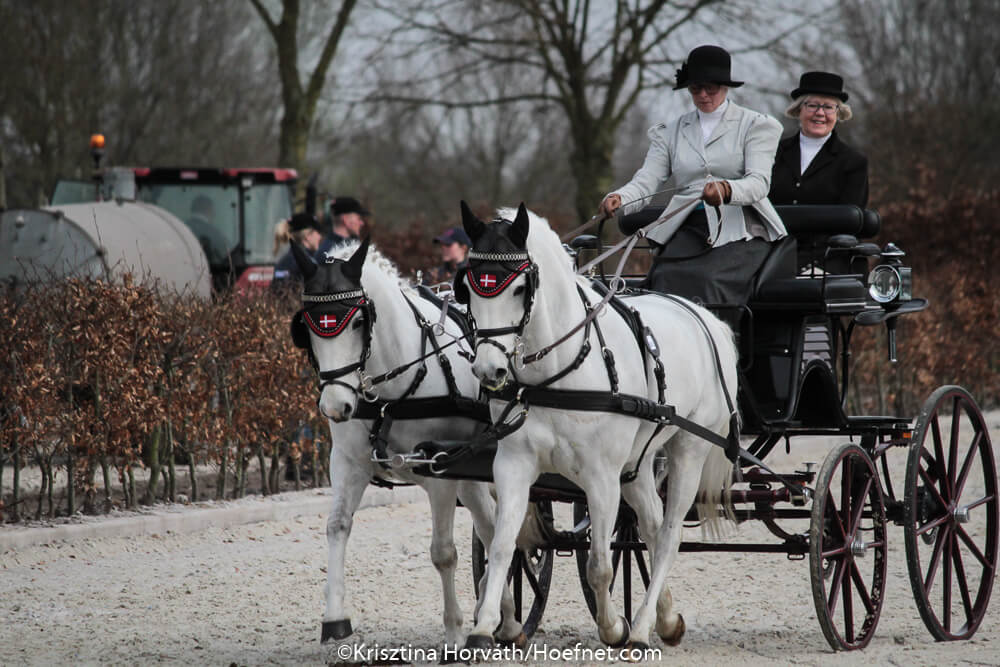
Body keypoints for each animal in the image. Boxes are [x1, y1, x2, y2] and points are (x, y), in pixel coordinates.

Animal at [290, 240, 524, 648]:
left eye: (358, 322)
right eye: (307, 327)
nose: (336, 406)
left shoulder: (439, 472)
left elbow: (443, 553)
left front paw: (453, 632)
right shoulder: (348, 464)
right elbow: (337, 527)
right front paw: (335, 616)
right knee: (490, 525)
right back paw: (504, 618)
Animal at [458, 205, 740, 652]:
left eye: (519, 289)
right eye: (468, 288)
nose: (490, 370)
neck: (558, 372)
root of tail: (706, 317)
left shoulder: (601, 478)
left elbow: (600, 566)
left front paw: (614, 627)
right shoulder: (514, 465)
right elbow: (502, 545)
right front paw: (485, 627)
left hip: (689, 450)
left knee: (669, 535)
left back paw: (639, 630)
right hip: (637, 464)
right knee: (652, 527)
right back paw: (666, 619)